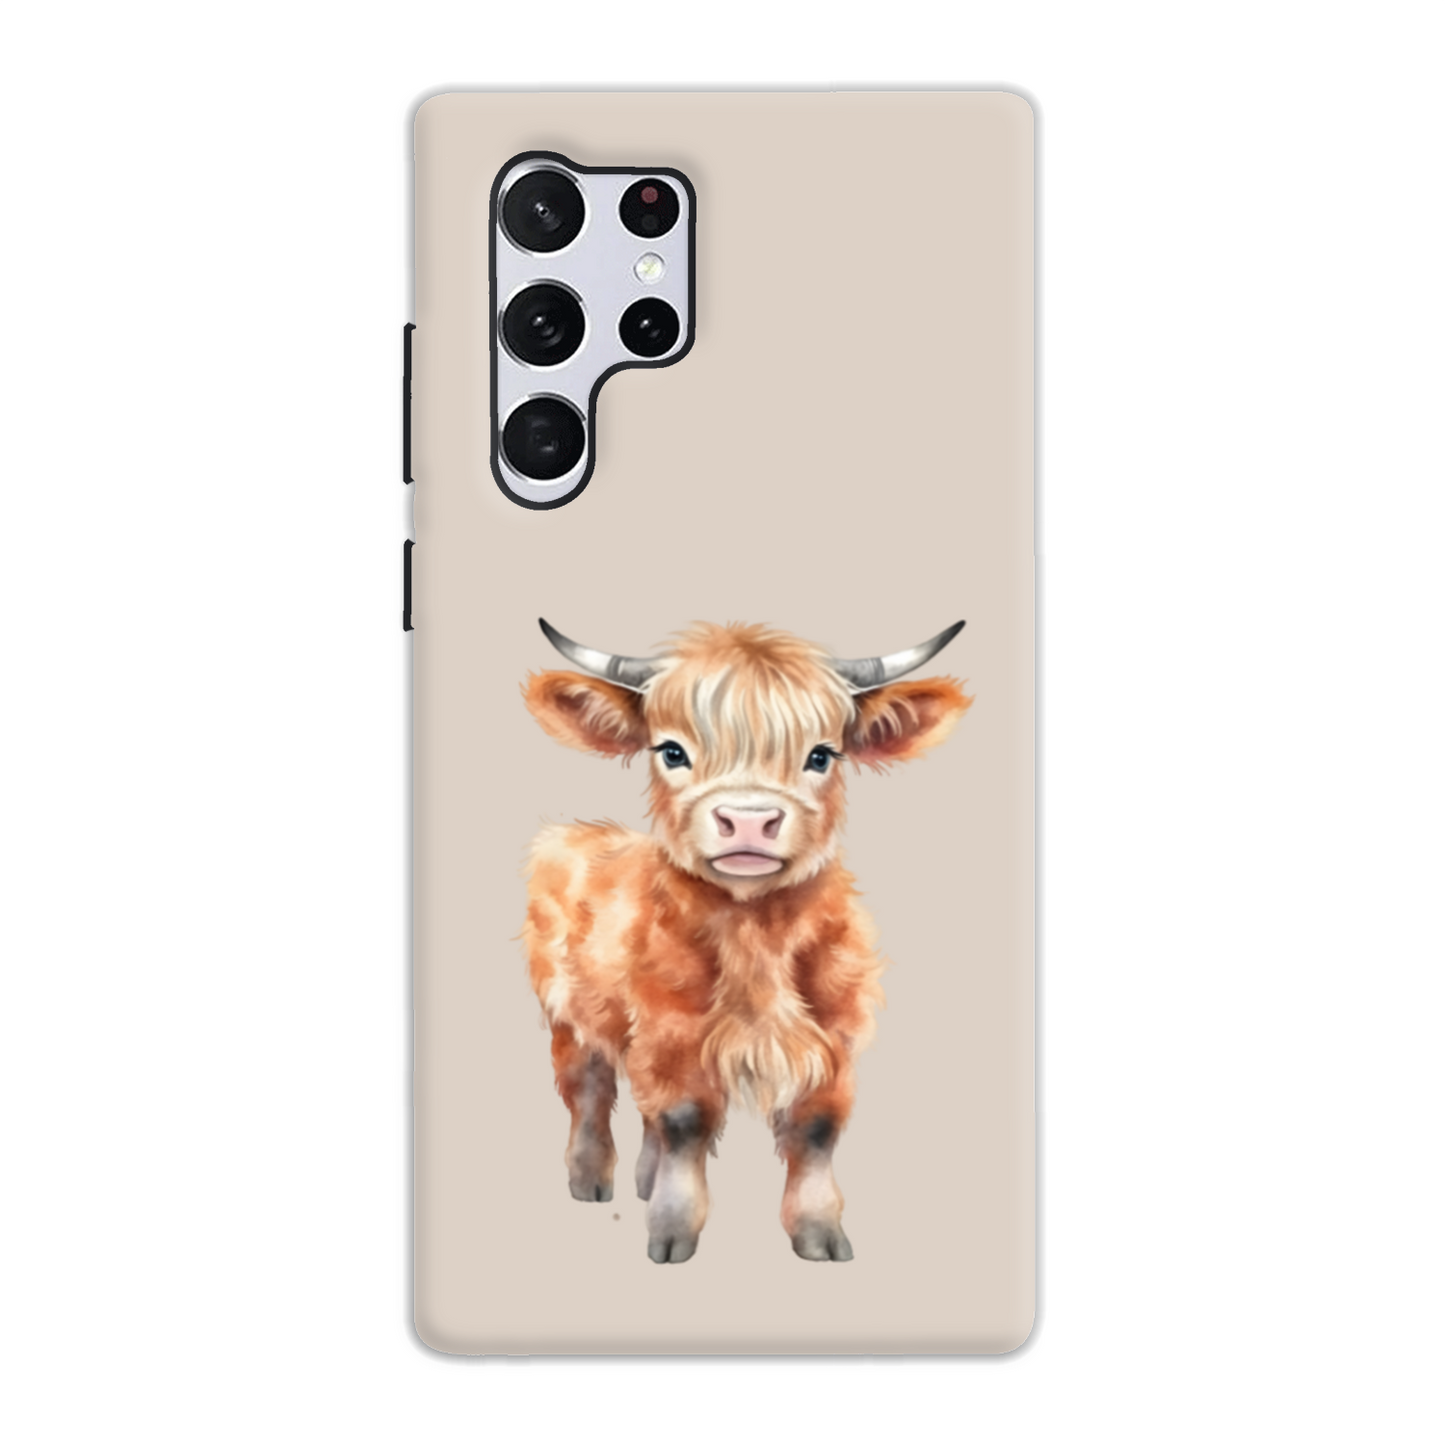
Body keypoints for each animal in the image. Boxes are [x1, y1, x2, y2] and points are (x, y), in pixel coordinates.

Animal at [520, 617, 971, 1263]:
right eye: (673, 751)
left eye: (820, 754)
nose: (750, 821)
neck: (757, 938)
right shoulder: (672, 1033)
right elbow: (684, 1120)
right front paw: (673, 1232)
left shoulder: (835, 1037)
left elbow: (815, 1130)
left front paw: (820, 1234)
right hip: (567, 1013)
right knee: (588, 1087)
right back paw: (590, 1178)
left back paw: (643, 1181)